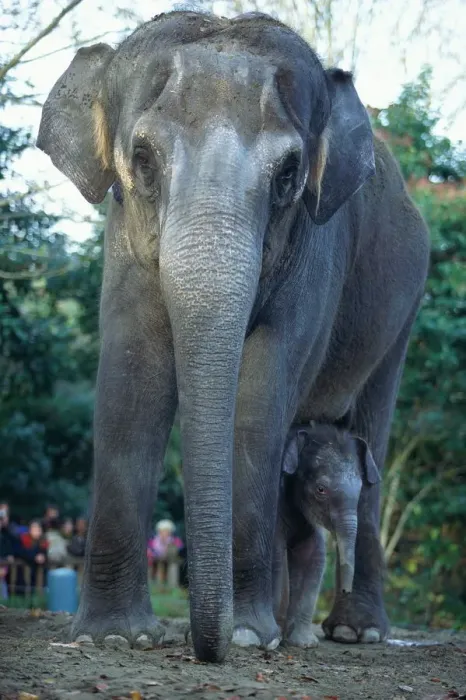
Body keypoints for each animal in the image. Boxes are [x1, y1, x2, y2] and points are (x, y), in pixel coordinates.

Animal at [273, 422, 381, 648]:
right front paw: (276, 637)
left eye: (361, 490)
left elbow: (314, 559)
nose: (345, 590)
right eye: (321, 489)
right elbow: (277, 557)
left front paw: (304, 643)